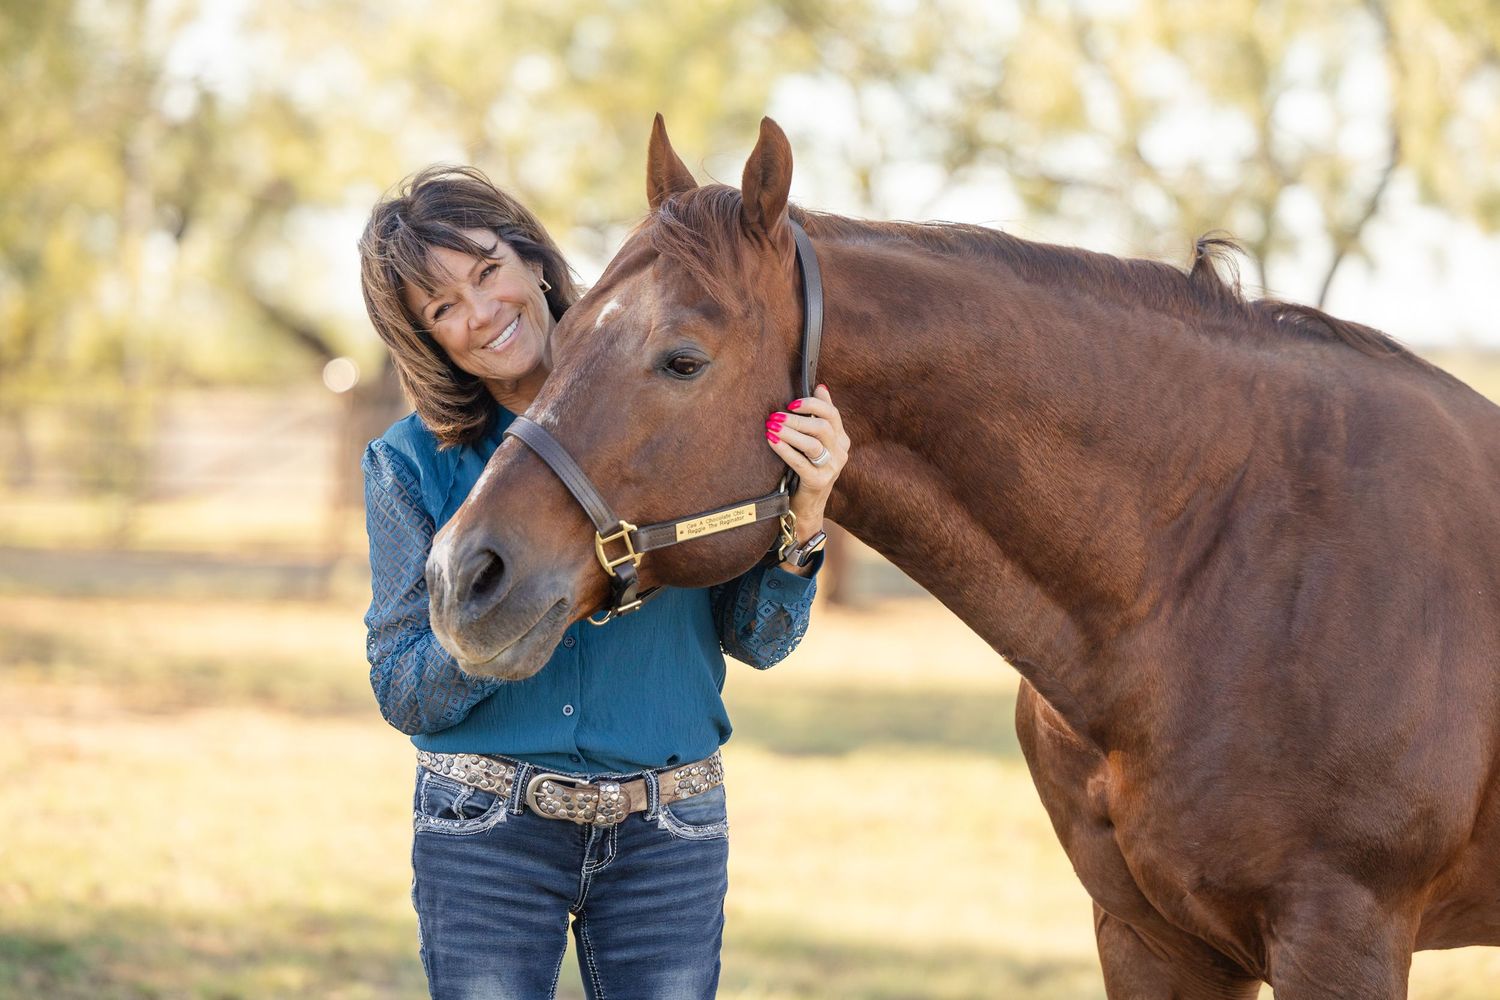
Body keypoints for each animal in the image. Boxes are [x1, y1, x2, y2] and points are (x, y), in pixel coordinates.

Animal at [425, 115, 1500, 998]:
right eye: (564, 333)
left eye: (683, 359)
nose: (458, 576)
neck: (1219, 563)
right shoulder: (1151, 939)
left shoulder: (1341, 937)